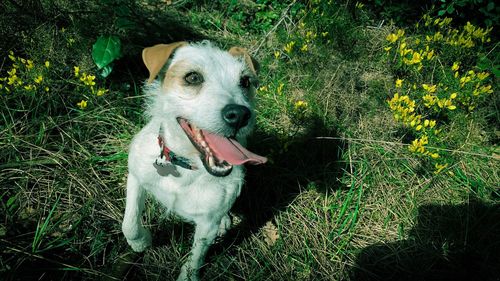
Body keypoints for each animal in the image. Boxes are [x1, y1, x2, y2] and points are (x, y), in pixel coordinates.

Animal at [121, 40, 268, 280]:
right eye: (192, 77)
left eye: (245, 81)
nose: (240, 115)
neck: (184, 167)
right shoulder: (136, 177)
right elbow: (130, 223)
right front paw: (141, 243)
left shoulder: (207, 225)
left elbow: (196, 257)